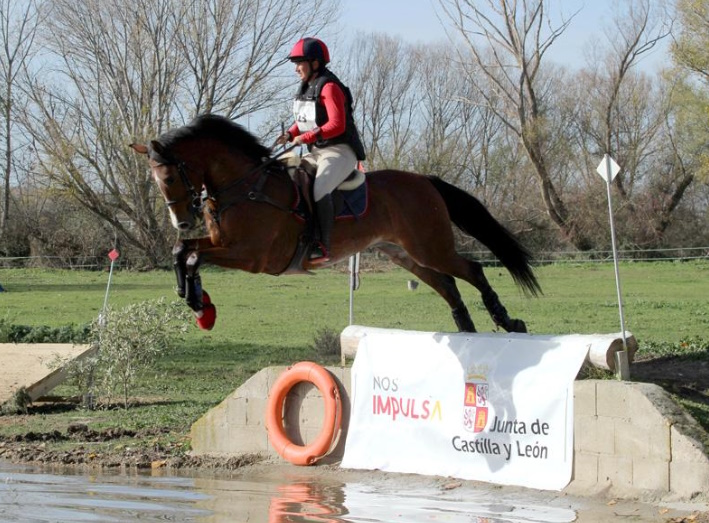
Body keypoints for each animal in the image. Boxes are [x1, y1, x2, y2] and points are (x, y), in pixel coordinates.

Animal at [129, 116, 536, 334]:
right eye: (156, 181)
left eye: (170, 177)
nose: (183, 220)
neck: (245, 186)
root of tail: (424, 180)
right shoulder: (221, 243)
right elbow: (183, 251)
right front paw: (198, 303)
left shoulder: (252, 256)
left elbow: (193, 256)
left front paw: (199, 304)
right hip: (404, 253)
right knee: (448, 284)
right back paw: (468, 333)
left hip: (430, 246)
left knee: (472, 270)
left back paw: (508, 322)